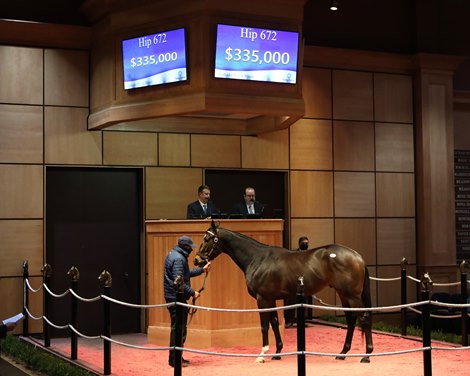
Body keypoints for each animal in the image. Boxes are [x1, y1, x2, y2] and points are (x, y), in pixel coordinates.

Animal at [193, 222, 372, 362]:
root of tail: (358, 256)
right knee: (351, 320)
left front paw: (262, 354)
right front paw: (277, 352)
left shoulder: (262, 299)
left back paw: (367, 355)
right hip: (344, 295)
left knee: (363, 318)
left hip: (352, 296)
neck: (258, 259)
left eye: (207, 239)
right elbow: (274, 323)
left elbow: (264, 325)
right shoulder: (270, 299)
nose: (197, 260)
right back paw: (343, 353)